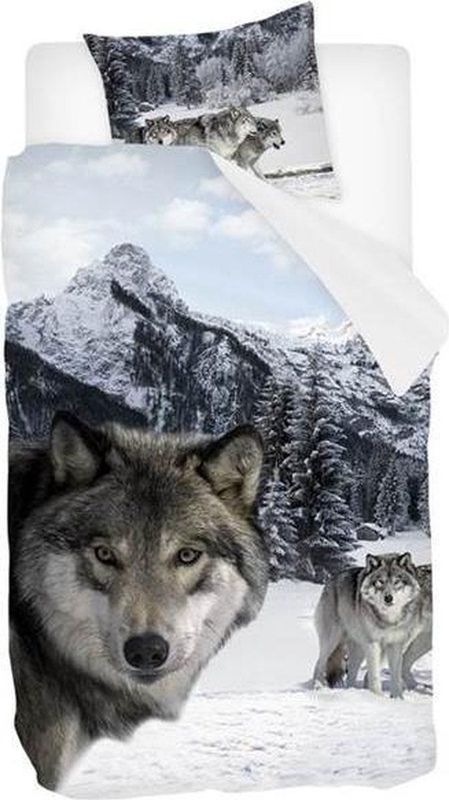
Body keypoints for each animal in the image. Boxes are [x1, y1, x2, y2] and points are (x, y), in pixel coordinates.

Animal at [313, 553, 423, 698]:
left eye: (396, 582)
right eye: (380, 582)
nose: (388, 598)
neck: (388, 620)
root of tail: (331, 580)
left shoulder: (395, 645)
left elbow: (395, 676)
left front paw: (397, 698)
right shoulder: (373, 644)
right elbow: (374, 675)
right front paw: (378, 697)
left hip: (358, 649)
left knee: (351, 673)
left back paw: (351, 692)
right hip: (332, 641)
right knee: (319, 663)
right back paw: (318, 687)